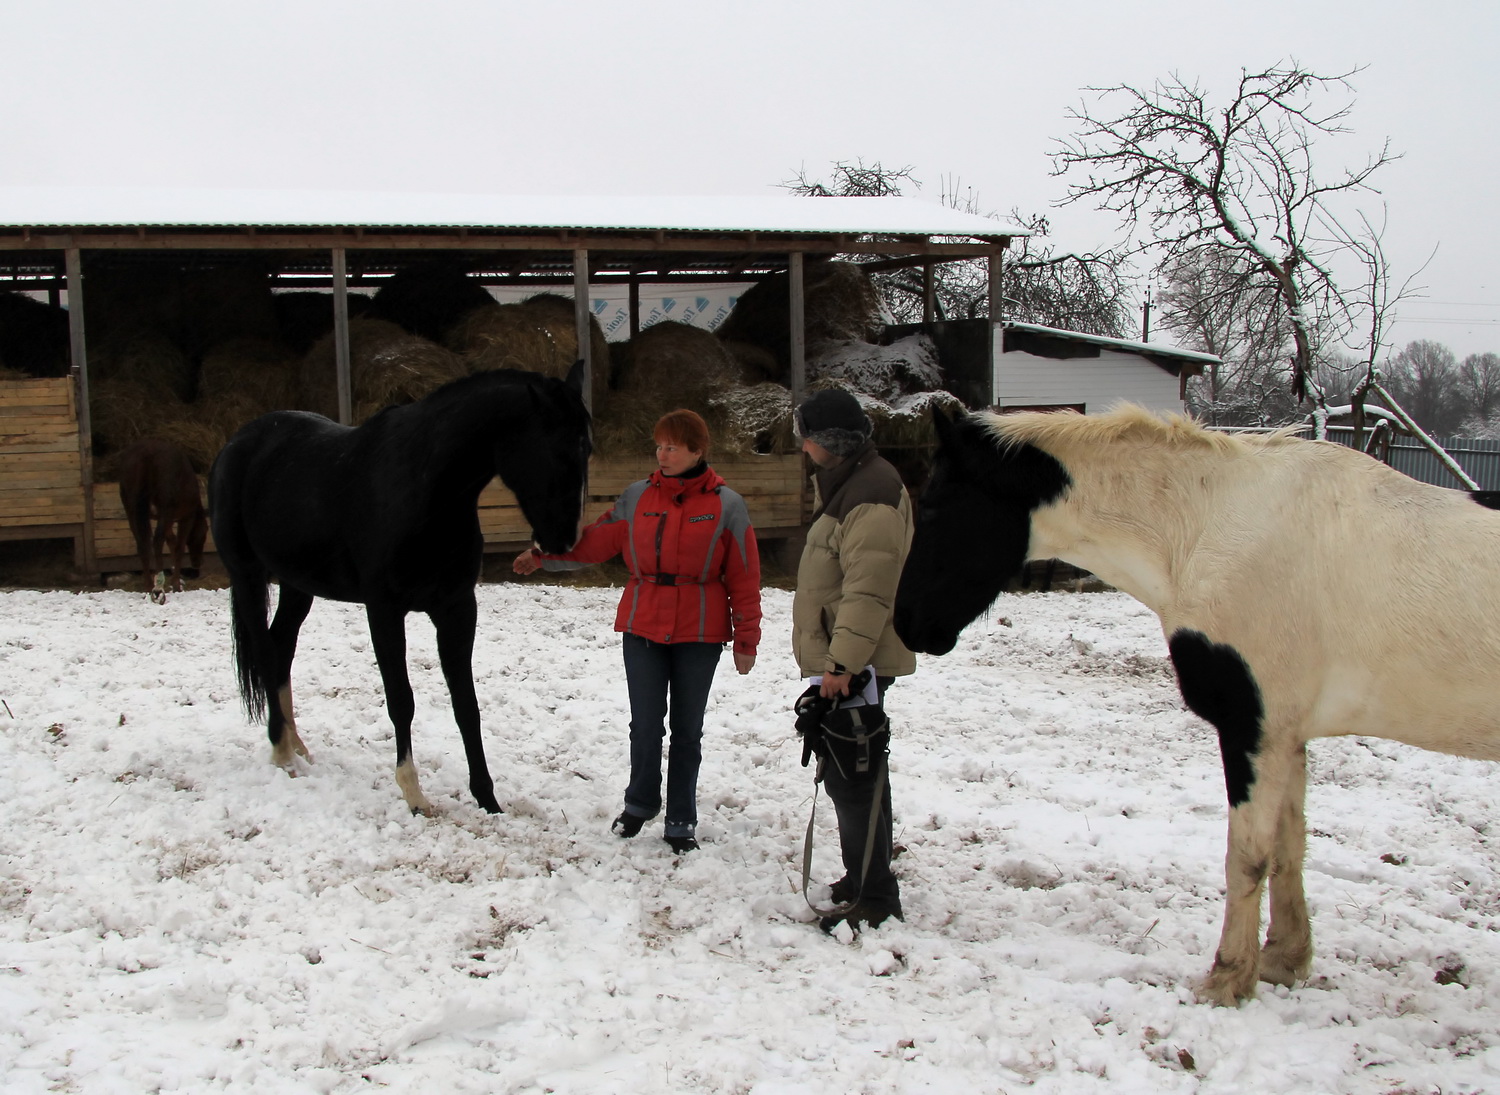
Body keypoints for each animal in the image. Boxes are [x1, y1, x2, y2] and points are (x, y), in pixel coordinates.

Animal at [117, 438, 208, 600]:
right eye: (204, 533)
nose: (197, 563)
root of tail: (145, 455)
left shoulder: (167, 518)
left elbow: (171, 541)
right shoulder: (185, 516)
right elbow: (178, 546)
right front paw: (177, 585)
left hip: (131, 508)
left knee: (142, 543)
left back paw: (148, 586)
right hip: (165, 505)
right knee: (157, 540)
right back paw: (158, 587)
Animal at [211, 364, 591, 810]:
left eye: (587, 449)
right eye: (557, 451)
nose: (563, 541)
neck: (424, 490)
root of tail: (236, 444)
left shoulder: (457, 608)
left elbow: (467, 705)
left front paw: (487, 798)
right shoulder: (384, 610)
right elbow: (401, 700)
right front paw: (413, 792)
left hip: (296, 585)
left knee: (282, 646)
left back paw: (295, 742)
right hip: (248, 576)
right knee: (267, 651)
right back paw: (281, 750)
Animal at [894, 402, 1494, 1008]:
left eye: (936, 504)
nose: (906, 623)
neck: (1207, 530)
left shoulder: (1252, 730)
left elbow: (1246, 857)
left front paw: (1227, 980)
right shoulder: (1286, 735)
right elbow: (1288, 848)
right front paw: (1284, 959)